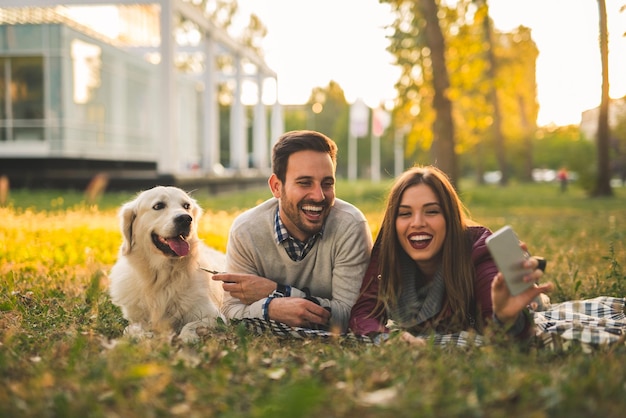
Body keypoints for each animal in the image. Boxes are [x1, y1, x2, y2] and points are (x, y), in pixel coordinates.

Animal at [109, 186, 227, 342]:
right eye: (158, 206)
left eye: (186, 206)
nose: (185, 219)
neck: (163, 277)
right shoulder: (135, 318)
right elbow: (129, 329)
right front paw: (145, 335)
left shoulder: (215, 315)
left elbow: (190, 325)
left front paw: (187, 337)